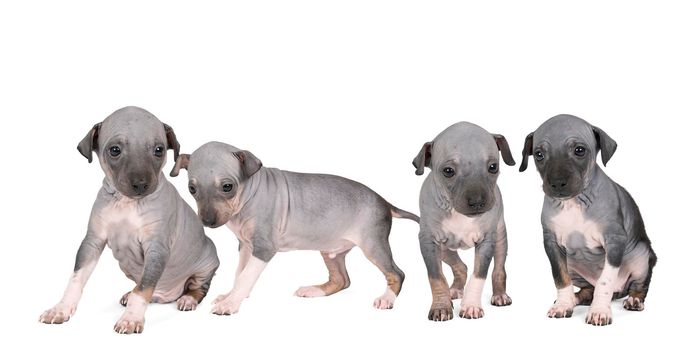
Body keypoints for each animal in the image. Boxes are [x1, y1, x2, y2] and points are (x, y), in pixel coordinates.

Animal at [38, 106, 219, 334]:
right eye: (115, 150)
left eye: (159, 150)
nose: (141, 184)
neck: (126, 204)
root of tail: (168, 294)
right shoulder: (92, 241)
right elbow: (76, 278)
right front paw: (61, 308)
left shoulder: (156, 249)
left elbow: (143, 290)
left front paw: (131, 319)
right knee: (145, 286)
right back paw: (131, 293)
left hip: (207, 263)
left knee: (195, 288)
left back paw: (188, 299)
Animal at [172, 141, 418, 316]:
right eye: (192, 189)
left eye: (227, 187)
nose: (207, 221)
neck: (247, 197)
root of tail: (384, 201)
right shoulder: (245, 246)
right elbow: (240, 273)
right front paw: (230, 296)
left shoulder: (263, 248)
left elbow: (246, 275)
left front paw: (231, 303)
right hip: (331, 250)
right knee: (342, 280)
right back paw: (313, 290)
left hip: (373, 244)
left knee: (397, 273)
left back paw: (387, 299)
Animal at [412, 121, 516, 322]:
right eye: (448, 171)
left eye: (493, 167)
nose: (477, 202)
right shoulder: (428, 241)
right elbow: (436, 277)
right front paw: (441, 307)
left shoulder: (486, 241)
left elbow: (479, 275)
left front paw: (471, 306)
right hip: (444, 250)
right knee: (461, 266)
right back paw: (454, 290)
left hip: (500, 238)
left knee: (499, 269)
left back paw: (499, 295)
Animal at [520, 114, 656, 326]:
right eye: (539, 154)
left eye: (579, 150)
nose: (557, 183)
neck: (573, 203)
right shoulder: (552, 244)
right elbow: (560, 278)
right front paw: (563, 304)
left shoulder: (614, 241)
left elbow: (604, 282)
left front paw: (599, 311)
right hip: (573, 264)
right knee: (587, 290)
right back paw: (573, 299)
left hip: (640, 257)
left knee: (638, 286)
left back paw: (634, 300)